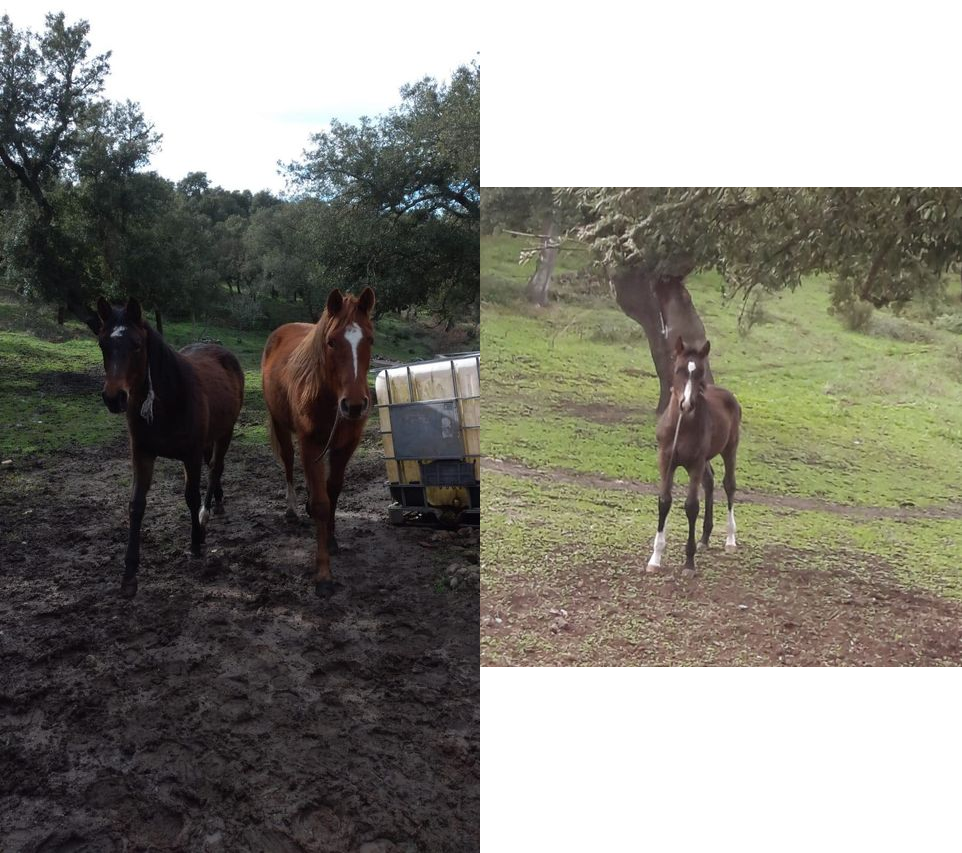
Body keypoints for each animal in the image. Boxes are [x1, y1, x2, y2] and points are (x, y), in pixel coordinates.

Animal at [92, 296, 246, 596]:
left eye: (136, 344)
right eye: (103, 344)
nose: (114, 398)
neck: (168, 401)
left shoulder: (190, 455)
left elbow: (191, 496)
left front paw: (196, 543)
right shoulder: (142, 454)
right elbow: (136, 505)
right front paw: (129, 574)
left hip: (225, 432)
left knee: (215, 469)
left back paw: (206, 515)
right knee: (215, 468)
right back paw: (218, 501)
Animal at [258, 286, 376, 592]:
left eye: (370, 339)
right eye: (332, 342)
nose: (355, 406)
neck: (329, 397)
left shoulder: (345, 446)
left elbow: (332, 490)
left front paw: (332, 539)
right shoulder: (310, 444)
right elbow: (323, 504)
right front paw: (323, 573)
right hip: (281, 426)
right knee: (289, 462)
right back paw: (292, 510)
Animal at [644, 336, 744, 576]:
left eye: (699, 372)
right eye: (678, 369)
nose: (686, 404)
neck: (682, 426)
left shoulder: (695, 464)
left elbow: (691, 506)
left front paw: (689, 562)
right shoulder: (666, 461)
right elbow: (664, 501)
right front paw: (655, 559)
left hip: (730, 449)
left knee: (729, 485)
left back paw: (730, 540)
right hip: (706, 459)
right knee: (709, 482)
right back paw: (704, 538)